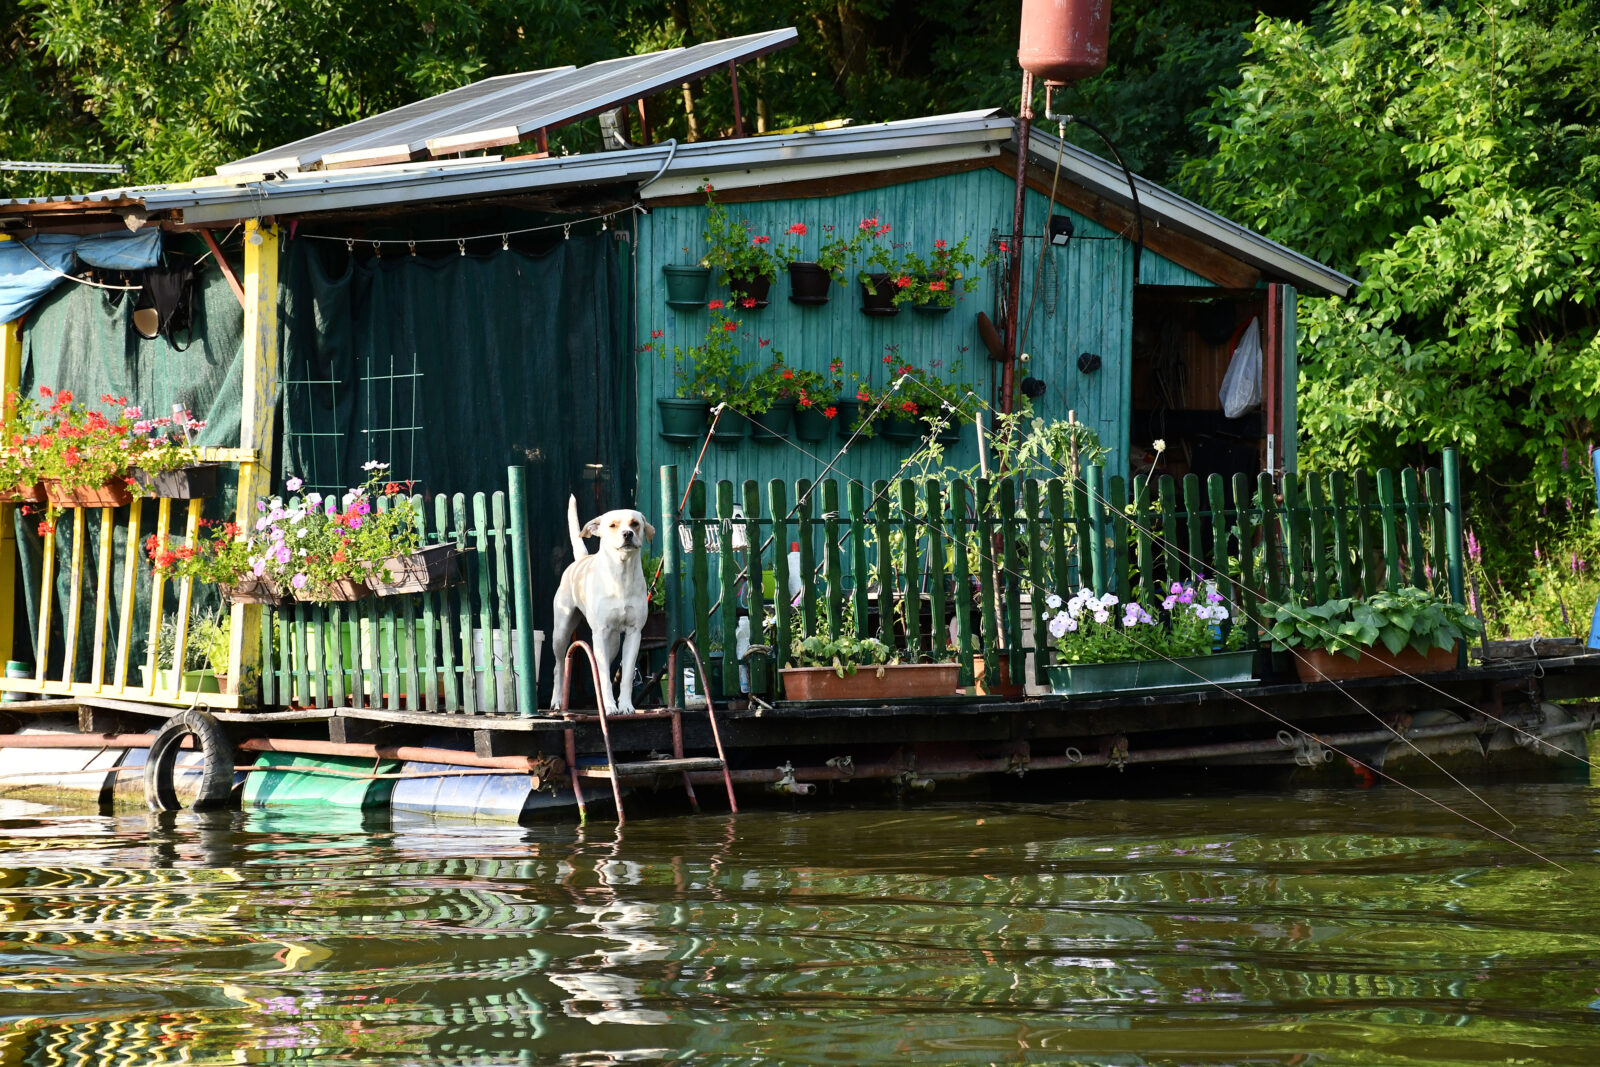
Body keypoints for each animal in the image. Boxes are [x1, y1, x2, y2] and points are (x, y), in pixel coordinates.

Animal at [547, 495, 652, 713]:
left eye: (635, 523)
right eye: (612, 525)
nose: (627, 534)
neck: (621, 575)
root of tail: (581, 559)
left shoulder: (634, 633)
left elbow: (626, 676)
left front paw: (626, 706)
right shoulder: (600, 632)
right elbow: (604, 678)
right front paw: (611, 707)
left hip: (612, 643)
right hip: (561, 632)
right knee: (559, 665)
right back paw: (557, 700)